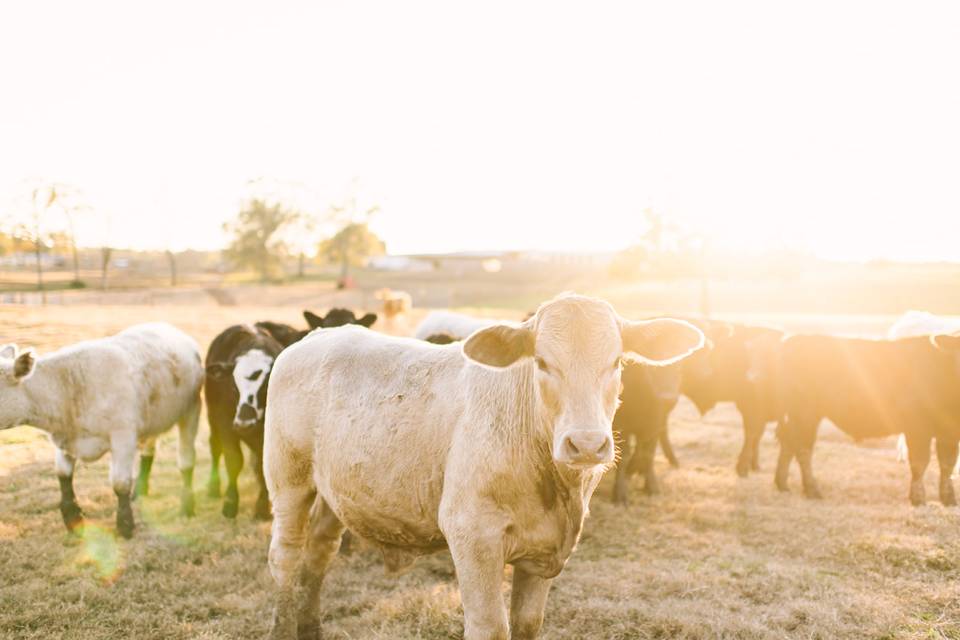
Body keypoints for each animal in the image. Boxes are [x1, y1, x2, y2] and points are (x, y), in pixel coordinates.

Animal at [0, 322, 202, 536]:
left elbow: (120, 483)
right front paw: (72, 517)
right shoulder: (63, 439)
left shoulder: (123, 437)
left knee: (186, 459)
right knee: (149, 448)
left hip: (192, 410)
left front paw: (125, 524)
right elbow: (63, 475)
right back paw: (140, 490)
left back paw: (187, 506)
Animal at [258, 296, 700, 640]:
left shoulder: (542, 551)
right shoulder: (472, 535)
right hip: (288, 480)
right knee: (285, 558)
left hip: (335, 492)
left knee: (318, 555)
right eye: (542, 362)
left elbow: (527, 623)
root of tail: (318, 336)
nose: (587, 443)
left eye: (617, 362)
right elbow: (490, 627)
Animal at [776, 330, 956, 504]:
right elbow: (920, 463)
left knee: (788, 443)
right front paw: (918, 499)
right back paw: (812, 491)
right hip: (805, 413)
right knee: (803, 449)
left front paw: (949, 499)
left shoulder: (949, 433)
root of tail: (792, 339)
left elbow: (948, 464)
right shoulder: (917, 428)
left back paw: (782, 485)